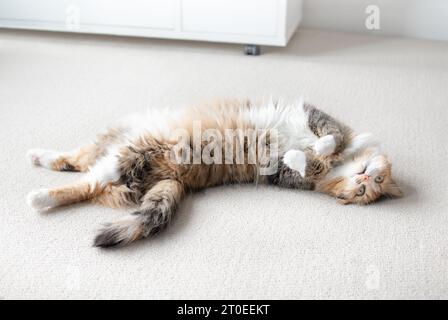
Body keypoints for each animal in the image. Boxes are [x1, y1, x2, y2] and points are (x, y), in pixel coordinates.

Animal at [25, 99, 402, 248]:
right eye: (374, 181)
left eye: (365, 193)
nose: (365, 179)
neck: (337, 167)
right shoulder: (321, 116)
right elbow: (332, 136)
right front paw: (322, 148)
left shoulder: (283, 174)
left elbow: (299, 160)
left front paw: (303, 153)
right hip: (119, 138)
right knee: (76, 159)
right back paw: (36, 155)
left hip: (127, 155)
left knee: (86, 183)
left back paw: (38, 197)